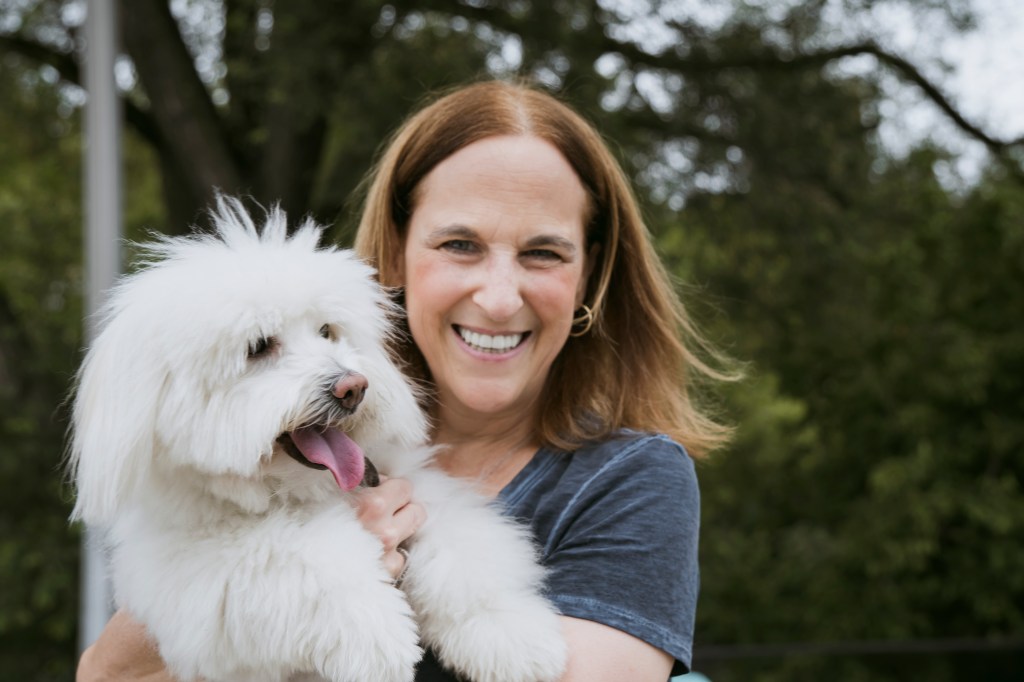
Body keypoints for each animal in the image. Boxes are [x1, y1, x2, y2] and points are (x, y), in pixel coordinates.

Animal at [70, 196, 569, 679]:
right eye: (258, 347)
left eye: (327, 331)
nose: (353, 387)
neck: (304, 490)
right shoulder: (204, 572)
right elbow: (306, 559)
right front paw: (376, 632)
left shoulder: (418, 491)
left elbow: (462, 557)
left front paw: (509, 632)